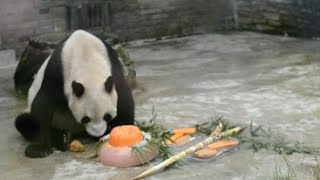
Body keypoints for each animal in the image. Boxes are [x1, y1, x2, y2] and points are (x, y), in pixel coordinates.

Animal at [14, 30, 134, 158]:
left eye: (107, 116)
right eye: (86, 119)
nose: (97, 133)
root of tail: (75, 131)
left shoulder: (113, 68)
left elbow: (124, 101)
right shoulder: (57, 73)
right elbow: (43, 105)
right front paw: (40, 149)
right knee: (24, 122)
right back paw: (62, 139)